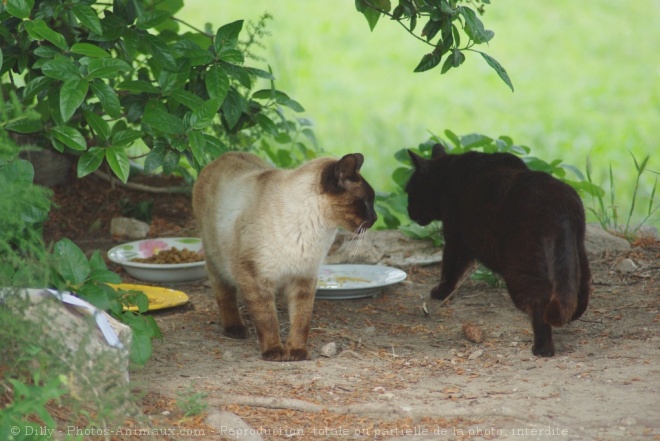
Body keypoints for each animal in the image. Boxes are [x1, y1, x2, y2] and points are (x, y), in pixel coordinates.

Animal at [191, 151, 376, 360]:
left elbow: (302, 320)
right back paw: (235, 328)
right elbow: (267, 320)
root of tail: (224, 156)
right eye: (367, 202)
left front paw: (296, 352)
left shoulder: (304, 278)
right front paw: (274, 352)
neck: (315, 232)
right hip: (217, 261)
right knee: (225, 294)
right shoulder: (254, 277)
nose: (375, 218)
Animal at [404, 143, 592, 356]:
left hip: (521, 268)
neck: (449, 174)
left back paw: (542, 349)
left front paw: (441, 292)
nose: (408, 210)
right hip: (577, 253)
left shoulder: (455, 239)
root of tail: (559, 206)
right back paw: (571, 317)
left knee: (538, 303)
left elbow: (449, 269)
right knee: (581, 289)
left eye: (409, 191)